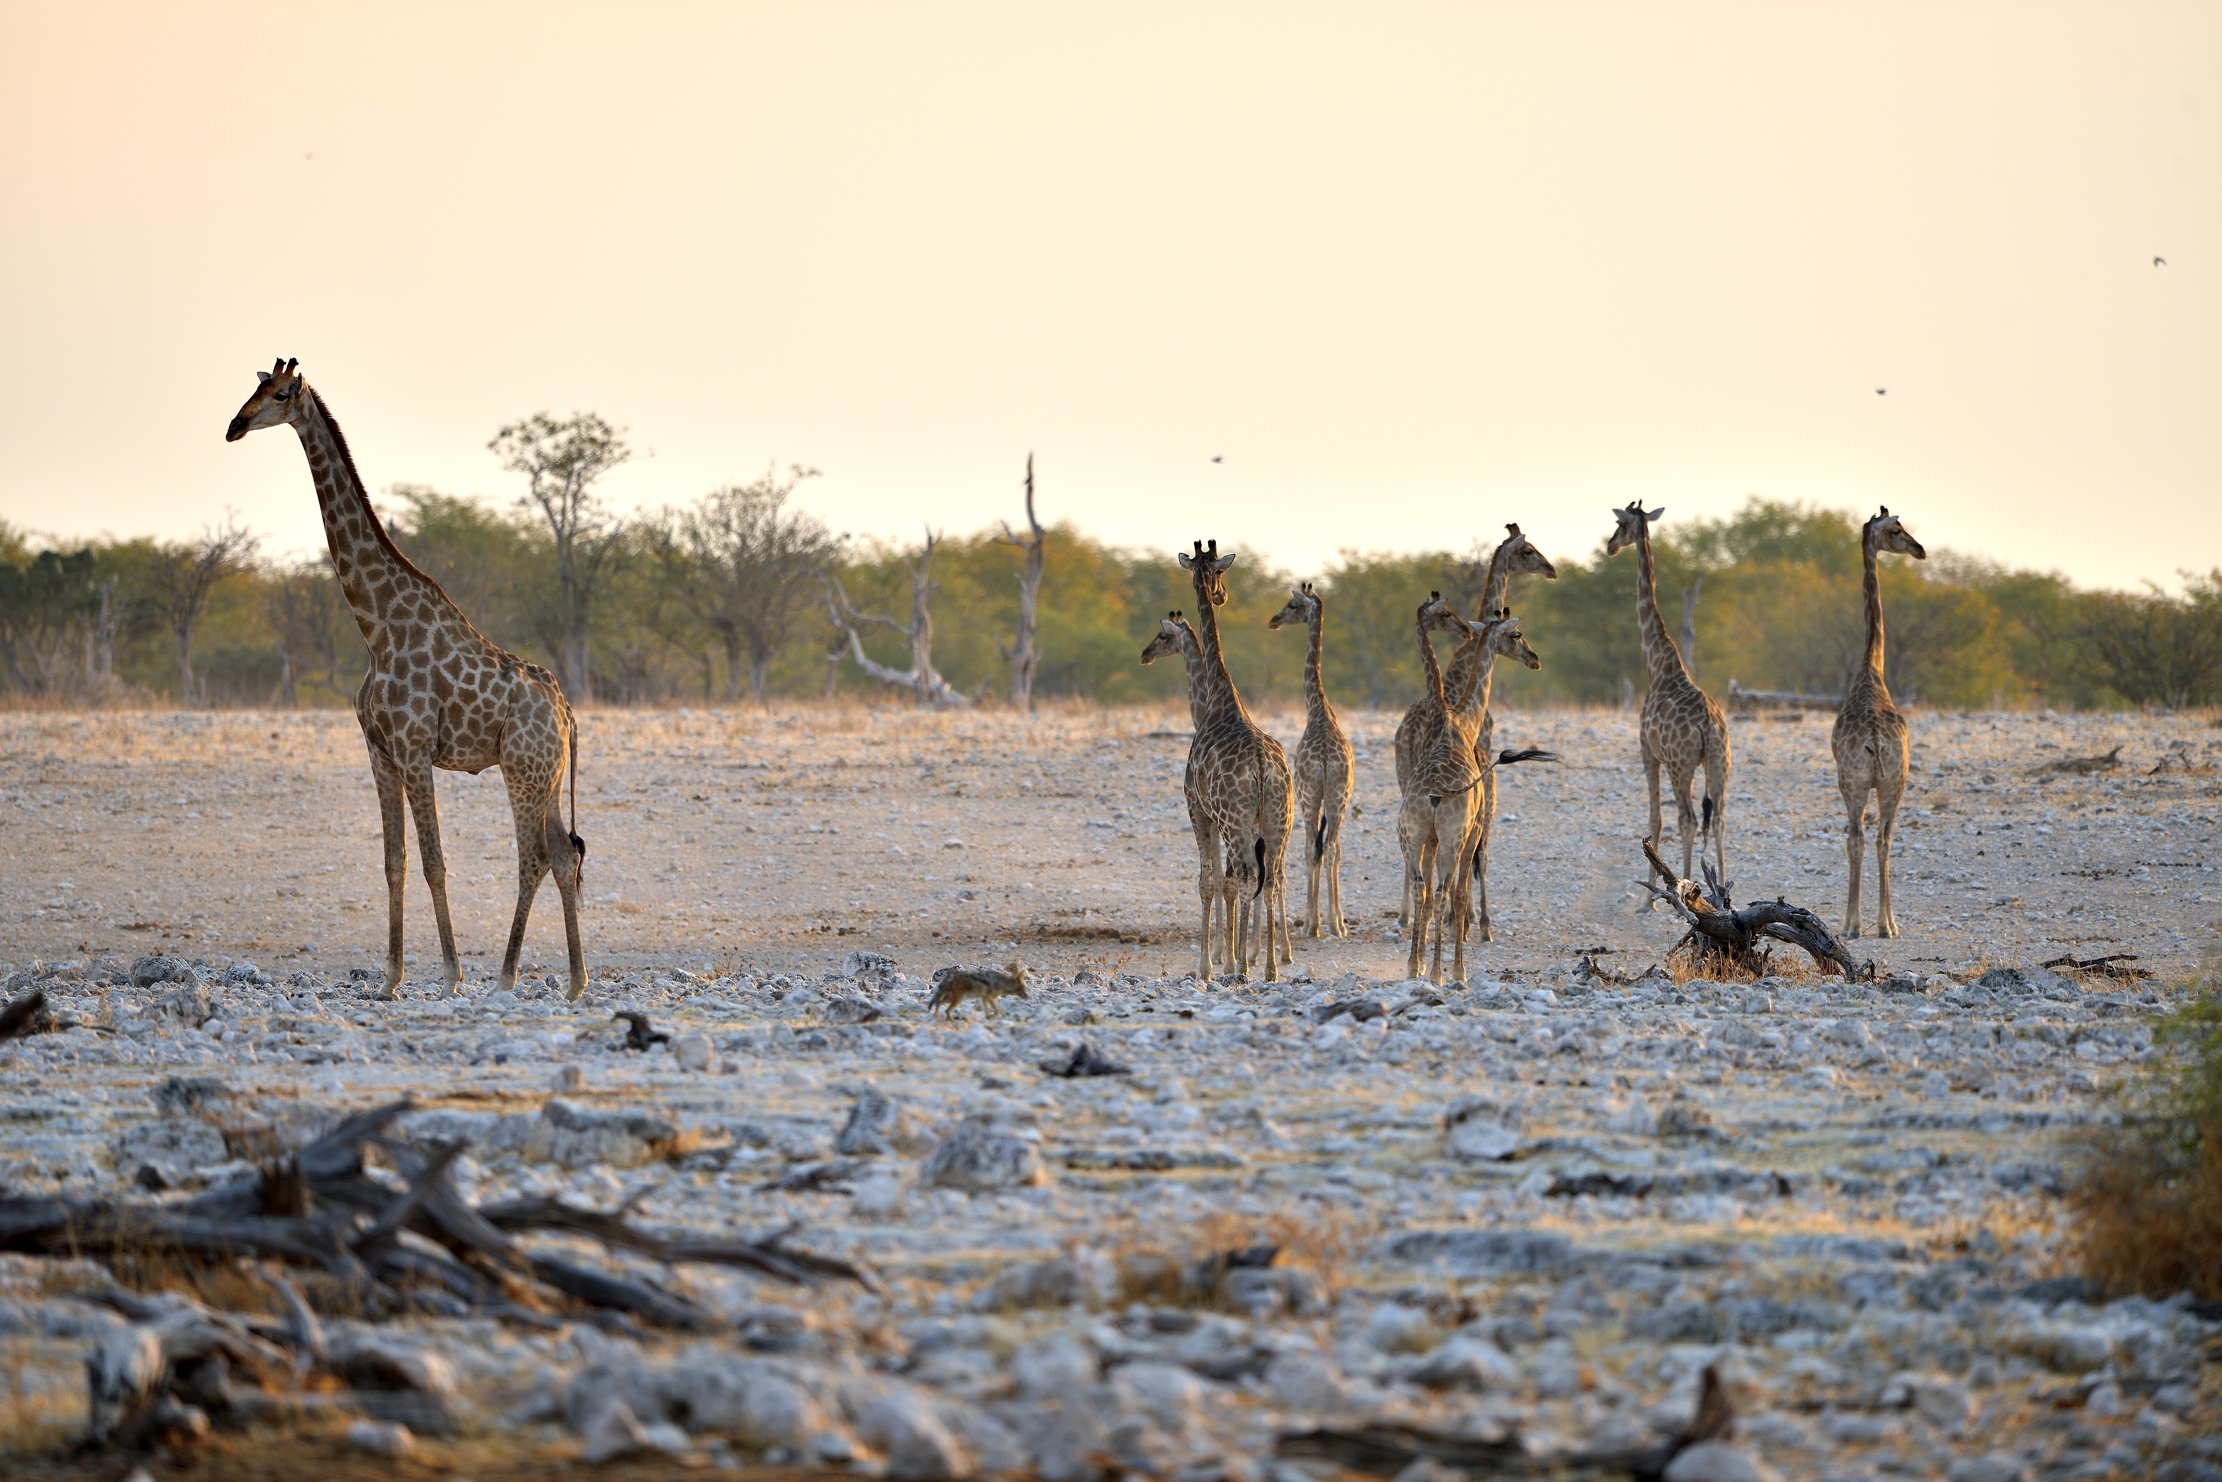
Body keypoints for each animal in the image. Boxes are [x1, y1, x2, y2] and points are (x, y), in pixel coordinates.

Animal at [226, 358, 588, 1000]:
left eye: (282, 393)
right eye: (253, 387)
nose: (234, 426)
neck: (376, 626)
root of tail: (566, 712)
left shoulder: (416, 749)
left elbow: (433, 861)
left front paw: (449, 975)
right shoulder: (379, 751)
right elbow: (393, 861)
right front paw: (390, 976)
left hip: (522, 769)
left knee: (534, 857)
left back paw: (505, 976)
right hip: (545, 773)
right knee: (564, 853)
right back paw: (574, 983)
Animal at [1176, 541, 1294, 982]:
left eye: (1220, 573)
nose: (1221, 595)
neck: (1220, 695)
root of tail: (1262, 767)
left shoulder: (1197, 807)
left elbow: (1208, 883)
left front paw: (1207, 966)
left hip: (1234, 820)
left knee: (1246, 876)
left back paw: (1243, 965)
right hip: (1277, 819)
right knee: (1271, 878)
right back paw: (1271, 967)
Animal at [1394, 525, 1558, 926]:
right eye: (1528, 551)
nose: (1535, 659)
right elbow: (1470, 871)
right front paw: (1475, 922)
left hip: (1411, 814)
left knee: (1423, 880)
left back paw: (1409, 919)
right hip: (1457, 829)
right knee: (1451, 880)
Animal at [1606, 502, 1729, 884]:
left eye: (1620, 524)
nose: (1609, 546)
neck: (1656, 662)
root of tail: (1708, 724)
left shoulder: (1648, 752)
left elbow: (1654, 820)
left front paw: (1650, 892)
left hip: (1681, 763)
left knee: (1687, 819)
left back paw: (1686, 885)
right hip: (1719, 761)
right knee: (1718, 820)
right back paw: (1720, 886)